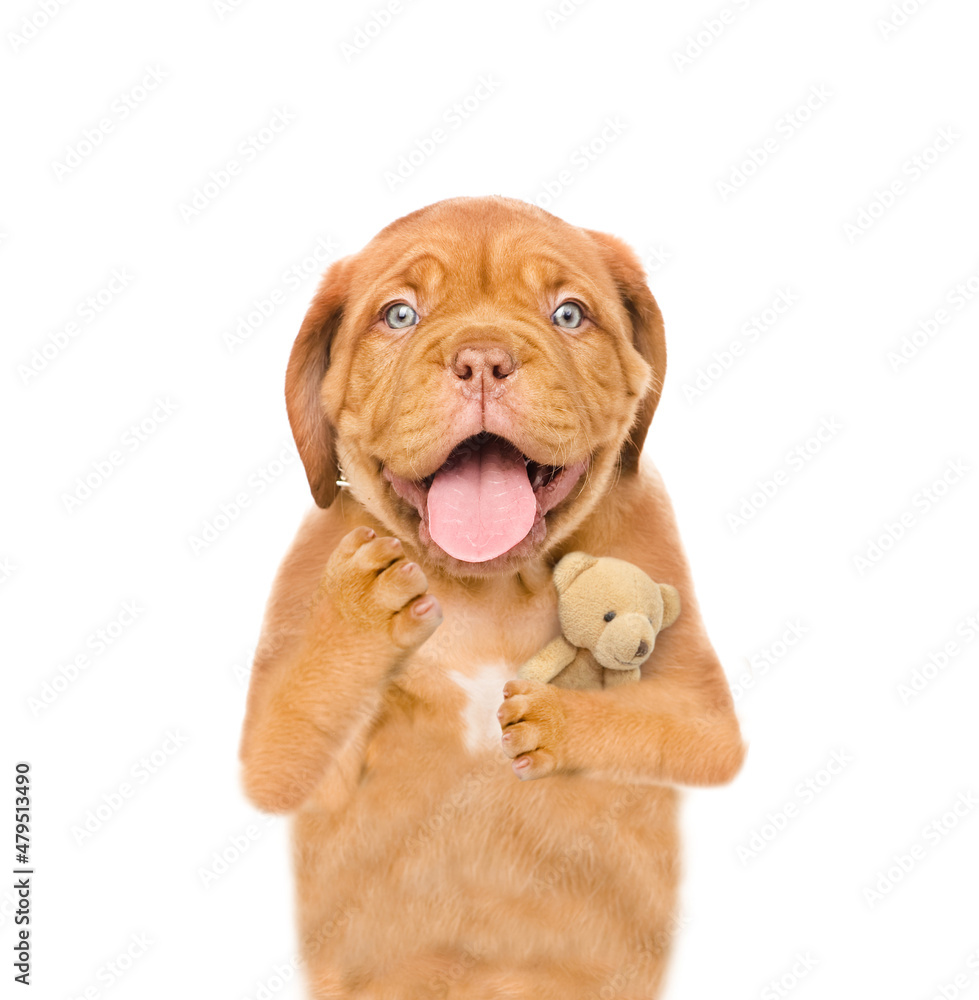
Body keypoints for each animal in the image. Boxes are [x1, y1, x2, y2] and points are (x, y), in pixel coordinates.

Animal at [239, 195, 744, 1000]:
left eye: (568, 314)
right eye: (400, 315)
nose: (482, 359)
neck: (487, 591)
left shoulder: (702, 705)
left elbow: (664, 726)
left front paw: (555, 721)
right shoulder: (277, 757)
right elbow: (294, 731)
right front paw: (356, 614)